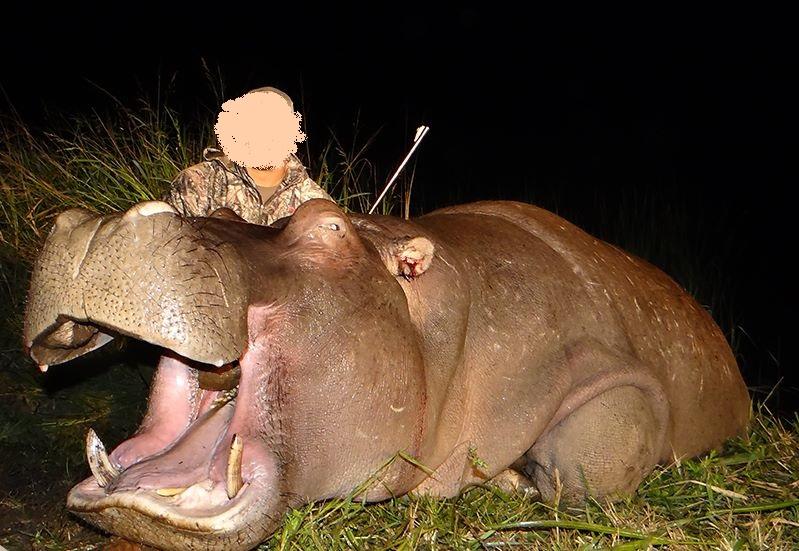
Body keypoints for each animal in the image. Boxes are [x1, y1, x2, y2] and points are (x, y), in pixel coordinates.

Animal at [23, 199, 750, 550]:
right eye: (225, 215)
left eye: (329, 227)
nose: (104, 222)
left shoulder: (600, 364)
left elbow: (593, 452)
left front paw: (516, 481)